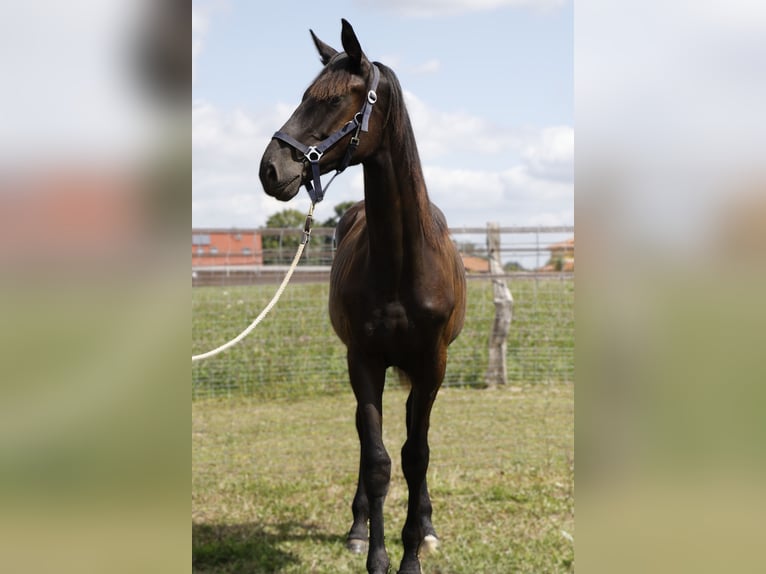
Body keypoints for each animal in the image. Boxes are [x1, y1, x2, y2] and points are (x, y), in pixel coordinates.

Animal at [260, 18, 468, 574]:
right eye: (303, 96)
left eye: (335, 100)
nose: (271, 168)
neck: (401, 262)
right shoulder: (364, 361)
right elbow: (376, 461)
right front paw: (375, 553)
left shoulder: (432, 364)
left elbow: (417, 456)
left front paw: (413, 552)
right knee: (364, 439)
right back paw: (356, 529)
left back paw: (427, 527)